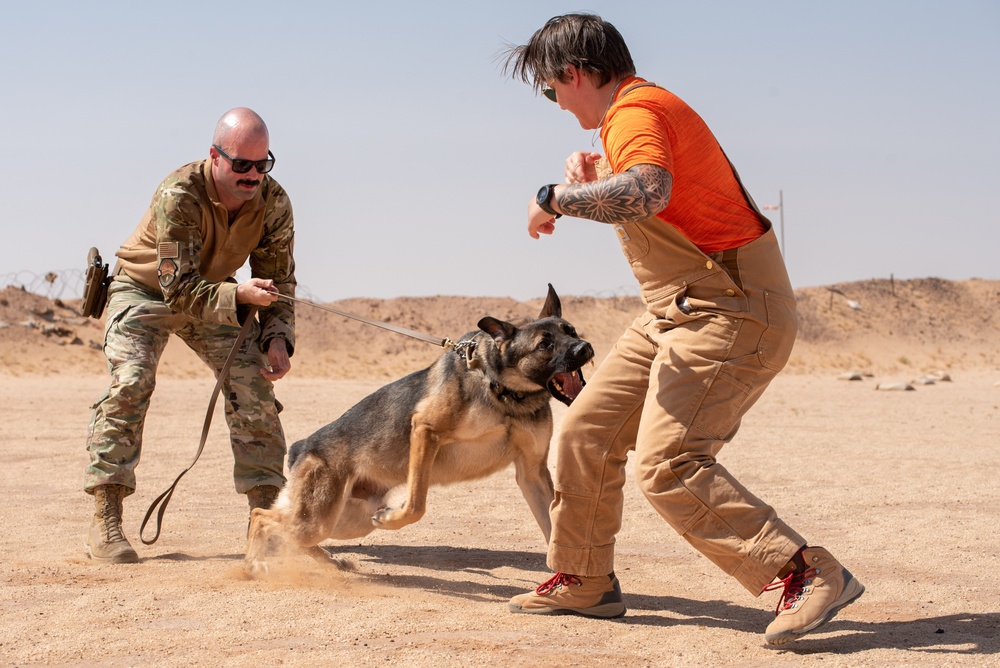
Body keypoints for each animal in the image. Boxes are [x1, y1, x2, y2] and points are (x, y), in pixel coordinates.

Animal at [247, 284, 592, 576]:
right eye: (544, 344)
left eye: (571, 330)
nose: (586, 348)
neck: (504, 393)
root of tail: (303, 445)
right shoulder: (426, 430)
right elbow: (415, 504)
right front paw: (392, 518)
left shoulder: (532, 472)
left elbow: (556, 528)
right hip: (321, 517)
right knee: (261, 516)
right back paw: (255, 563)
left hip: (344, 520)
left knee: (289, 533)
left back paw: (332, 561)